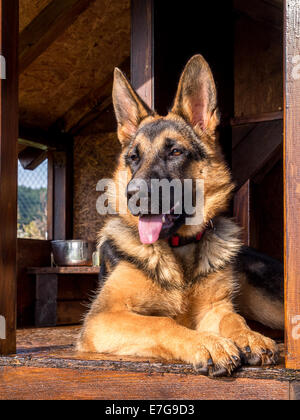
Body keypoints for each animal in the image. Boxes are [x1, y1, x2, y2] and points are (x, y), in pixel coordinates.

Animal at [78, 55, 284, 378]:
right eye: (133, 158)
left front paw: (248, 335)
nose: (133, 195)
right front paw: (207, 343)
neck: (177, 248)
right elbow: (161, 322)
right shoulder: (103, 318)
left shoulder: (216, 308)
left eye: (175, 152)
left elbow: (232, 318)